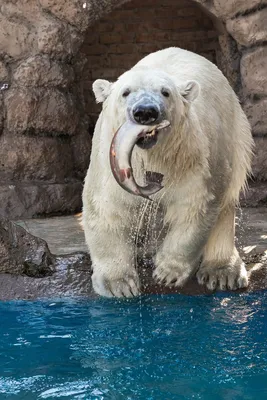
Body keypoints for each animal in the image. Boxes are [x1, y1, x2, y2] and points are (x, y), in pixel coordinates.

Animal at [82, 46, 254, 296]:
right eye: (125, 92)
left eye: (165, 92)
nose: (145, 111)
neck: (152, 155)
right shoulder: (110, 160)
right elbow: (108, 208)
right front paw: (119, 284)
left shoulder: (192, 157)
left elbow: (194, 207)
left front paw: (167, 272)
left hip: (234, 134)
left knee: (226, 201)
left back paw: (222, 272)